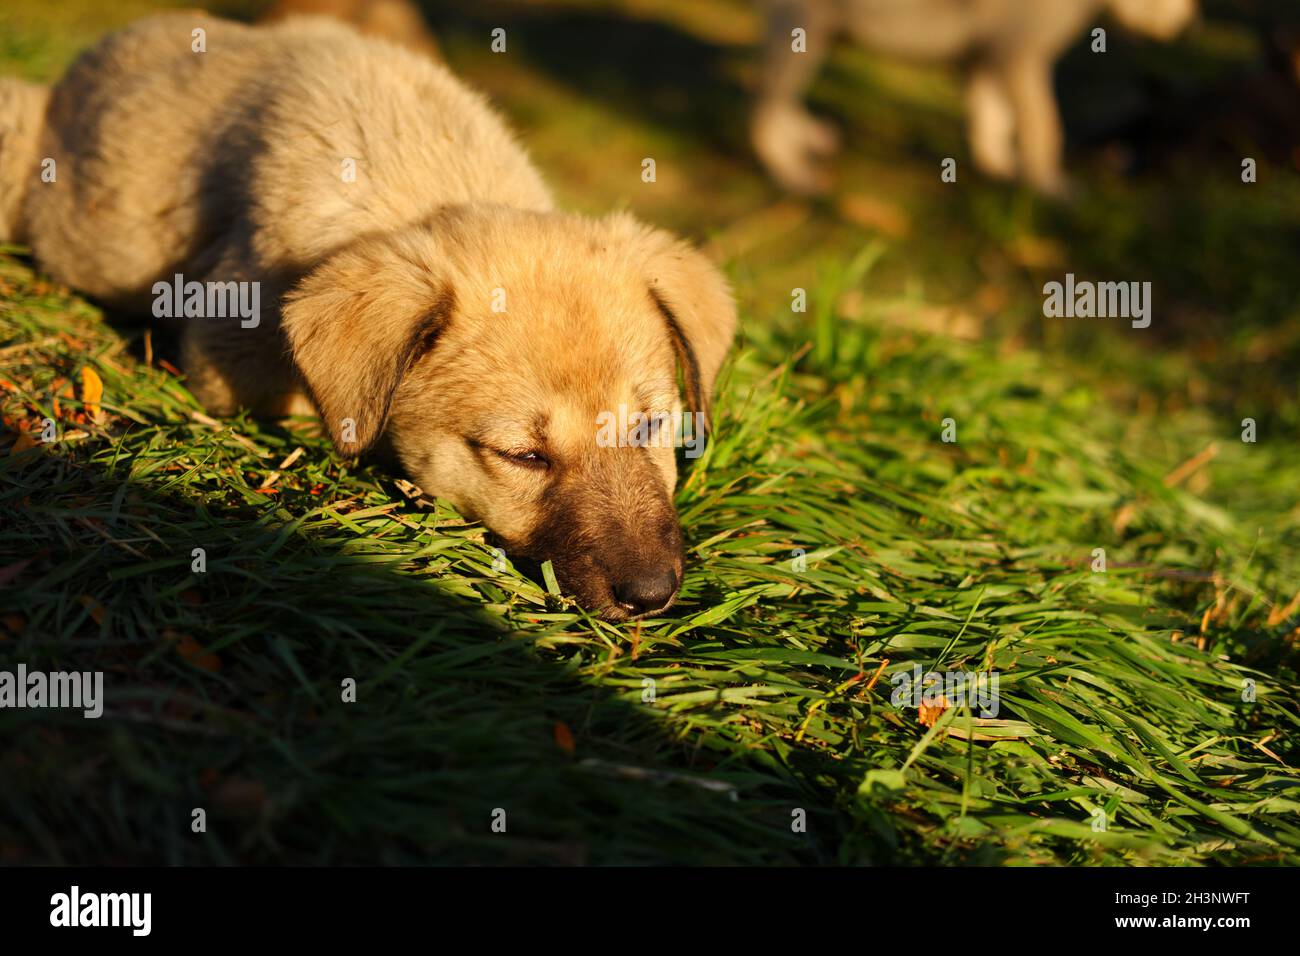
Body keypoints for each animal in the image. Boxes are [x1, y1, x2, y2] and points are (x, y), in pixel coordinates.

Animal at [754, 0, 1196, 196]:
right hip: (805, 23)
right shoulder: (1018, 51)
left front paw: (998, 167)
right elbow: (1042, 124)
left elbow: (993, 116)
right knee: (764, 111)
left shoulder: (989, 54)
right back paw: (794, 175)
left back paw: (810, 137)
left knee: (780, 98)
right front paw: (1049, 186)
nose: (1188, 21)